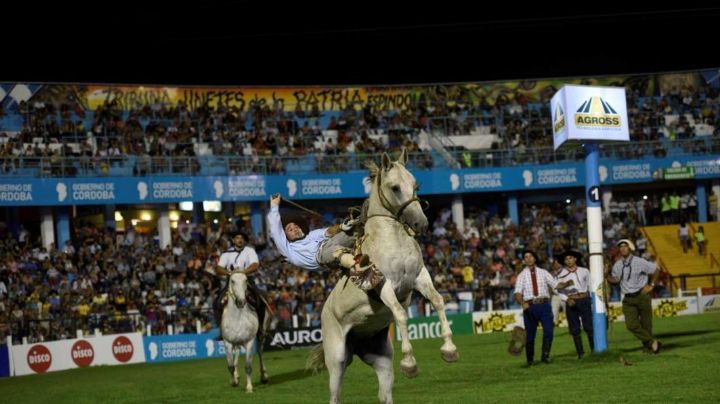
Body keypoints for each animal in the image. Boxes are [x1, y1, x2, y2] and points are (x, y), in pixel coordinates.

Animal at [306, 151, 458, 404]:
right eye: (395, 187)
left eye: (415, 185)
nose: (421, 223)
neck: (393, 240)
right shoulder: (384, 286)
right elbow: (401, 314)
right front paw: (409, 363)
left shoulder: (419, 276)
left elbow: (437, 301)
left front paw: (449, 349)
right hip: (337, 360)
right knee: (335, 394)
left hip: (382, 361)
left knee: (384, 394)